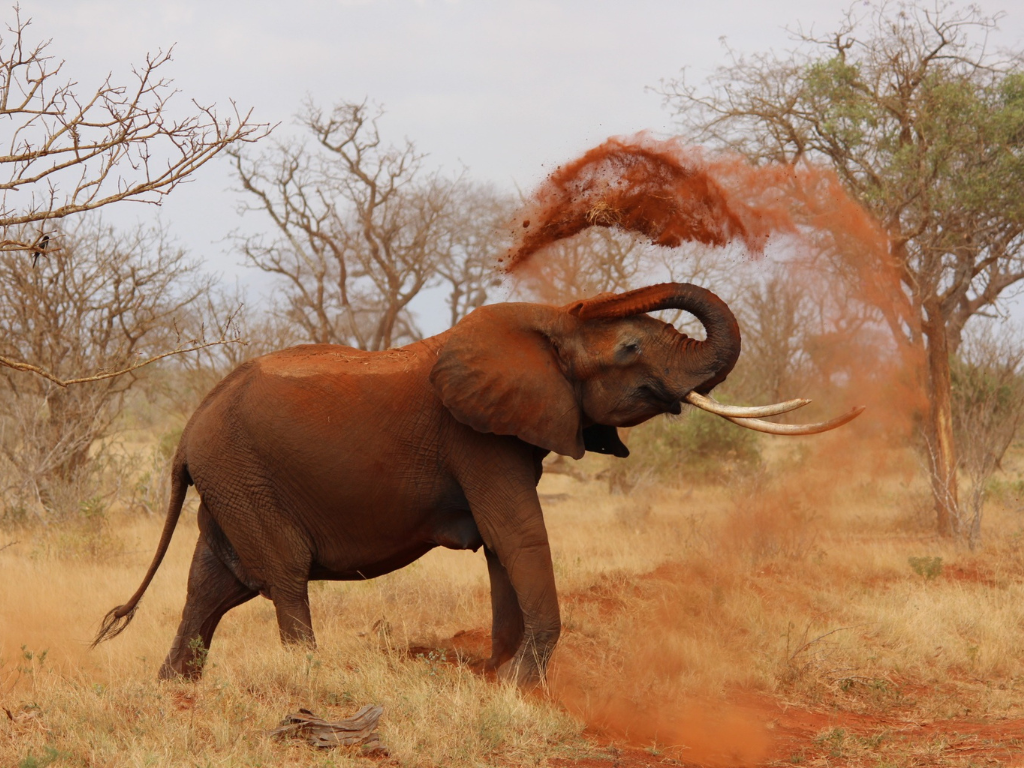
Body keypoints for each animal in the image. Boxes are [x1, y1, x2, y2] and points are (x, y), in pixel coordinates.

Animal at [94, 282, 856, 684]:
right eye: (632, 347)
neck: (545, 326)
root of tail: (190, 426)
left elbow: (501, 546)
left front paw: (499, 676)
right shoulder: (477, 438)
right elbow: (517, 533)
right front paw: (522, 684)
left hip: (229, 479)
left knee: (214, 583)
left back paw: (174, 691)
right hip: (242, 473)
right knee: (280, 575)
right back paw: (310, 680)